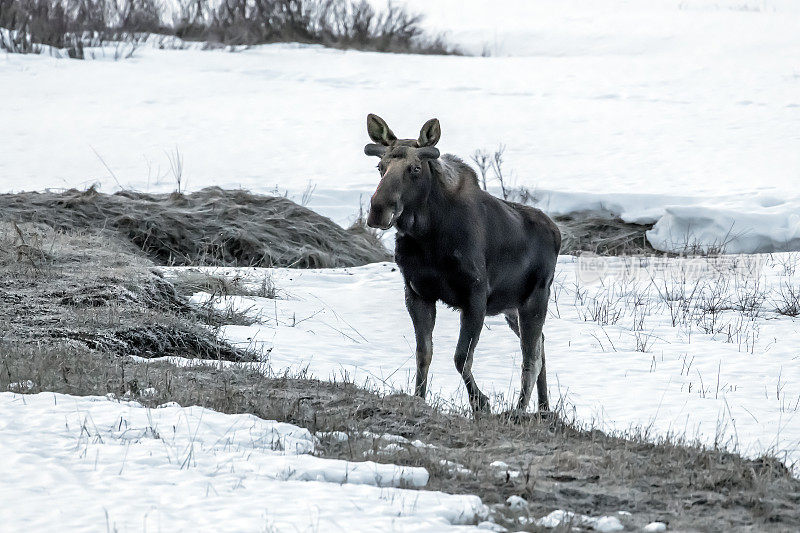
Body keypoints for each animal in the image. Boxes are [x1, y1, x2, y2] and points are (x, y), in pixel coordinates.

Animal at [366, 114, 560, 414]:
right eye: (380, 166)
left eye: (415, 168)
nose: (378, 209)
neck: (427, 236)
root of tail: (557, 232)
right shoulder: (417, 293)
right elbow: (424, 353)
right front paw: (419, 397)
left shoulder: (475, 295)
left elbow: (460, 357)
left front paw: (480, 402)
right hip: (512, 308)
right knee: (541, 346)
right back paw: (544, 408)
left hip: (535, 299)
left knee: (532, 357)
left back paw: (519, 410)